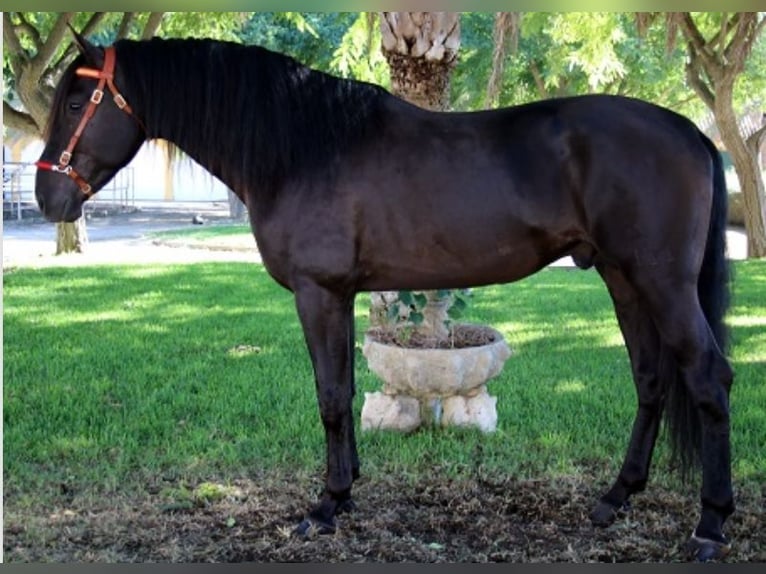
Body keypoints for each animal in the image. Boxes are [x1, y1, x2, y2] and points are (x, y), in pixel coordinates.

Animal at [35, 33, 734, 561]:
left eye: (73, 101)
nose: (48, 198)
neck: (301, 147)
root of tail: (690, 132)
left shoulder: (318, 294)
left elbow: (329, 396)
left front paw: (325, 507)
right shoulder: (341, 296)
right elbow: (343, 392)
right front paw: (346, 493)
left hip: (662, 282)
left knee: (707, 376)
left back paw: (710, 524)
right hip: (623, 278)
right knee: (651, 379)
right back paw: (615, 498)